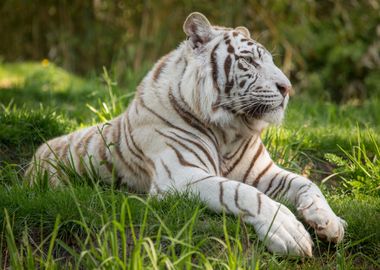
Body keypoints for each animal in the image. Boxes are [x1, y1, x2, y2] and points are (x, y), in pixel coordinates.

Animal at [27, 12, 348, 256]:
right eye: (249, 61)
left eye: (270, 61)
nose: (287, 88)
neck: (229, 130)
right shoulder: (180, 175)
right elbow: (241, 192)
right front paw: (288, 231)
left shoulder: (262, 172)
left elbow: (307, 183)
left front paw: (330, 222)